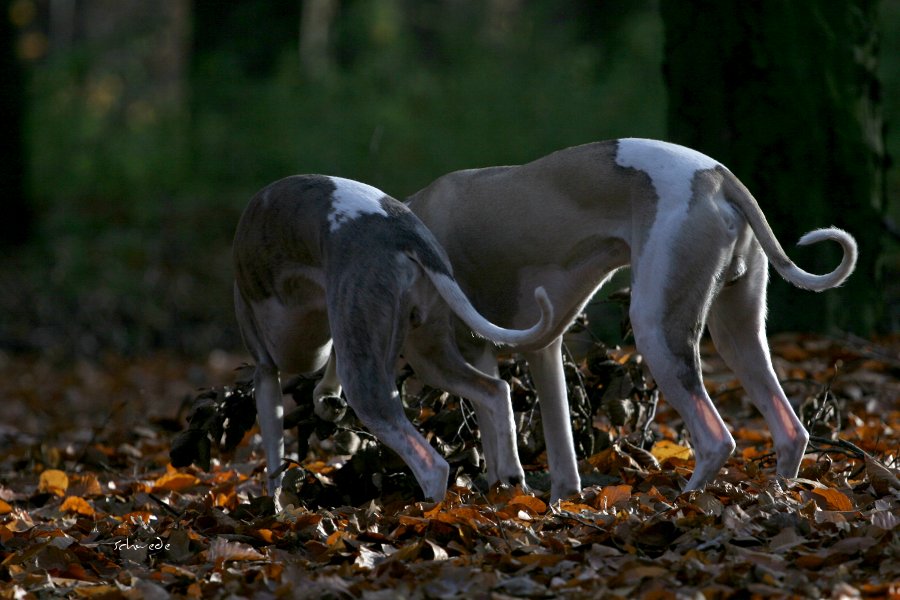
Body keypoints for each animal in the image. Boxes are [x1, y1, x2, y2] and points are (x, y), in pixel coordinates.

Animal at [232, 175, 556, 506]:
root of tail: (406, 234)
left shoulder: (266, 370)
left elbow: (274, 458)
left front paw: (275, 505)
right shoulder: (342, 327)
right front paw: (327, 401)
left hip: (367, 378)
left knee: (433, 465)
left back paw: (425, 510)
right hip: (427, 354)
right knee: (495, 390)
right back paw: (511, 481)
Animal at [408, 138, 856, 500]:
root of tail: (718, 177)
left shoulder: (469, 350)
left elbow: (494, 418)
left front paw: (503, 497)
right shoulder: (544, 350)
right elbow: (560, 453)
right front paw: (556, 506)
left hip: (657, 329)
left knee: (716, 440)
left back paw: (684, 503)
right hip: (737, 333)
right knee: (791, 431)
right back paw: (780, 494)